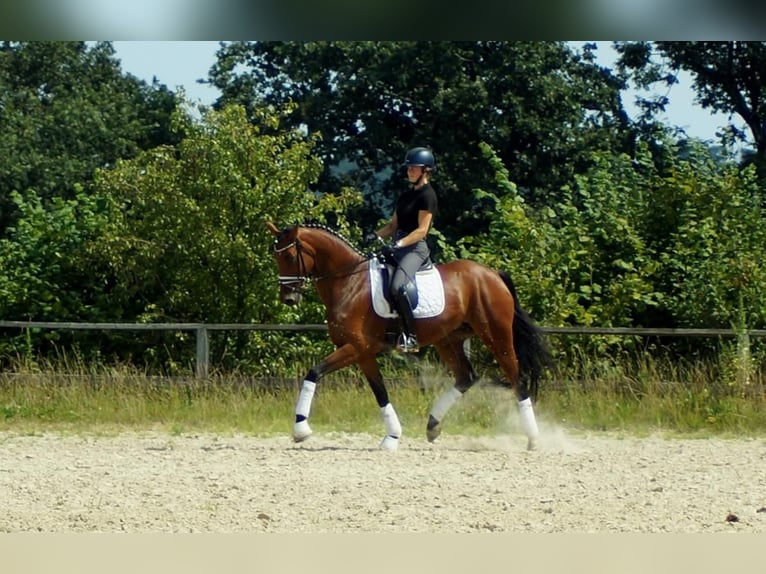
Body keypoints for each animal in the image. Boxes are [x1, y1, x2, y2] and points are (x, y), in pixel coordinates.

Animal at [268, 223, 548, 452]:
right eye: (276, 257)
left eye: (290, 256)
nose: (288, 299)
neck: (348, 282)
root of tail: (492, 274)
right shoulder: (363, 353)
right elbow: (380, 393)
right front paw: (392, 437)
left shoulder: (356, 347)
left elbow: (314, 372)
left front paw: (300, 429)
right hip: (448, 339)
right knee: (466, 377)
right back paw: (433, 426)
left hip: (496, 334)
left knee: (516, 377)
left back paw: (534, 439)